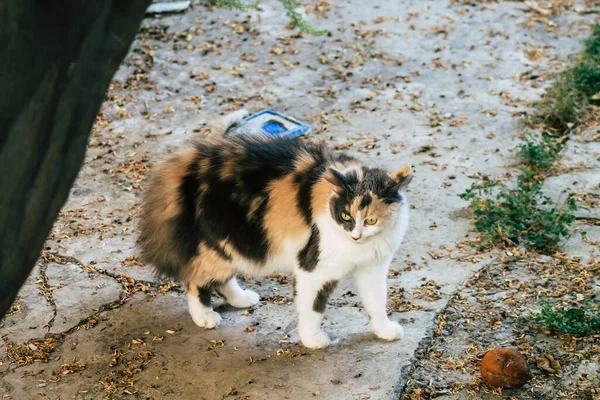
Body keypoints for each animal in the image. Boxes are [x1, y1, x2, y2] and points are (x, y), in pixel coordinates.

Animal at [139, 134, 412, 346]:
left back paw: (242, 299)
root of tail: (189, 164)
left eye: (371, 221)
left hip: (235, 245)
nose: (355, 235)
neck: (361, 247)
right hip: (223, 242)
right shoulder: (314, 270)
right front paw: (313, 340)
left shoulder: (372, 269)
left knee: (220, 278)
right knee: (197, 280)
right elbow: (312, 308)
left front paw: (383, 330)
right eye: (345, 215)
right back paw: (204, 316)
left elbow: (376, 301)